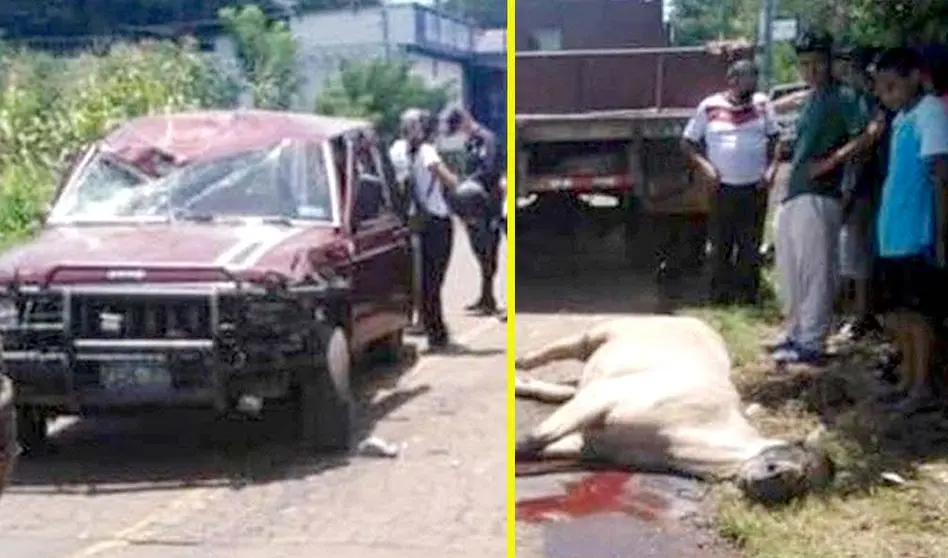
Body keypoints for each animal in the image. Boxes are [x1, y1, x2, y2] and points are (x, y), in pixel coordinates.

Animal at [516, 318, 832, 506]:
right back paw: (522, 362)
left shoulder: (588, 445)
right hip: (600, 335)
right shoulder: (605, 398)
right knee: (562, 350)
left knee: (563, 390)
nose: (772, 481)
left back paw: (523, 384)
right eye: (792, 456)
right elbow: (533, 441)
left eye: (801, 481)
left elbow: (540, 451)